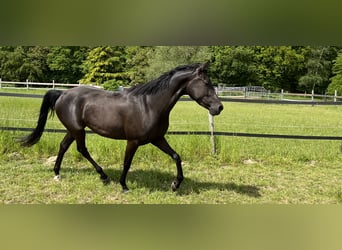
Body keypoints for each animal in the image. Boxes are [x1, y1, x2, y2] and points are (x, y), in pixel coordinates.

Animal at [21, 62, 224, 191]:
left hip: (73, 130)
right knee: (81, 149)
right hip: (78, 130)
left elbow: (176, 156)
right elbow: (127, 163)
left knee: (63, 146)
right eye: (206, 82)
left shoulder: (157, 138)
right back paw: (103, 176)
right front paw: (124, 185)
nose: (219, 107)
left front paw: (175, 184)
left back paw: (57, 174)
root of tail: (62, 94)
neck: (149, 105)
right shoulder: (133, 141)